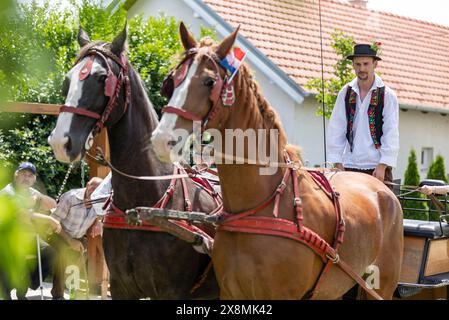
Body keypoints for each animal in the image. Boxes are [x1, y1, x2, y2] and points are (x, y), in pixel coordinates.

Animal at [150, 23, 402, 300]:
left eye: (209, 81)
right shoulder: (230, 293)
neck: (257, 206)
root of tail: (382, 190)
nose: (162, 138)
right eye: (172, 80)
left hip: (382, 285)